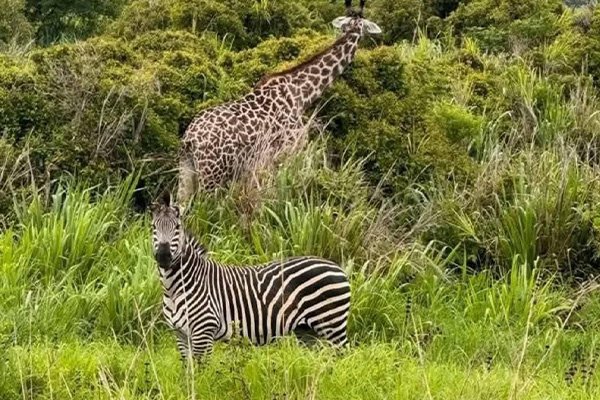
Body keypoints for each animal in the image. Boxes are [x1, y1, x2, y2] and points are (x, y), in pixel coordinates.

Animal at [149, 191, 351, 361]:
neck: (175, 288)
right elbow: (188, 375)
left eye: (177, 227)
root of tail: (338, 267)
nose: (163, 256)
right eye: (153, 228)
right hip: (307, 332)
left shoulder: (204, 331)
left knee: (343, 359)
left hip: (332, 325)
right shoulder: (181, 335)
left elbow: (201, 373)